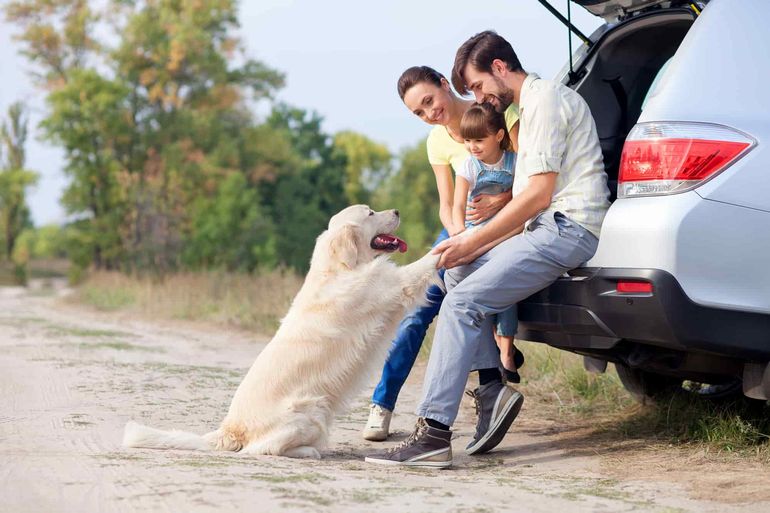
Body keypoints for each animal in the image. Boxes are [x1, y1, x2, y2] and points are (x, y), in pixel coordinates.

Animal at [124, 206, 440, 458]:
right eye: (371, 213)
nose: (397, 211)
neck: (339, 268)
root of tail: (230, 429)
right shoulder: (391, 285)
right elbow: (424, 263)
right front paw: (447, 243)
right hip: (312, 410)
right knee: (261, 449)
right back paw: (309, 451)